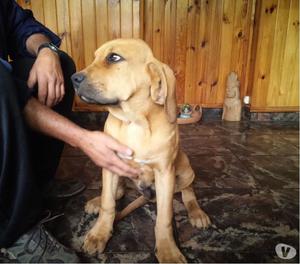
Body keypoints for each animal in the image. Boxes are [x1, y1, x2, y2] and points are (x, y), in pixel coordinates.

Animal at [71, 38, 210, 262]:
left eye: (114, 57)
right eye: (95, 57)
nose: (73, 78)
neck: (134, 122)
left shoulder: (164, 173)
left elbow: (164, 218)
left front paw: (168, 251)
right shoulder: (109, 164)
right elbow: (108, 203)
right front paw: (99, 233)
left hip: (185, 168)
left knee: (188, 190)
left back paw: (196, 212)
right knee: (117, 191)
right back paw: (95, 201)